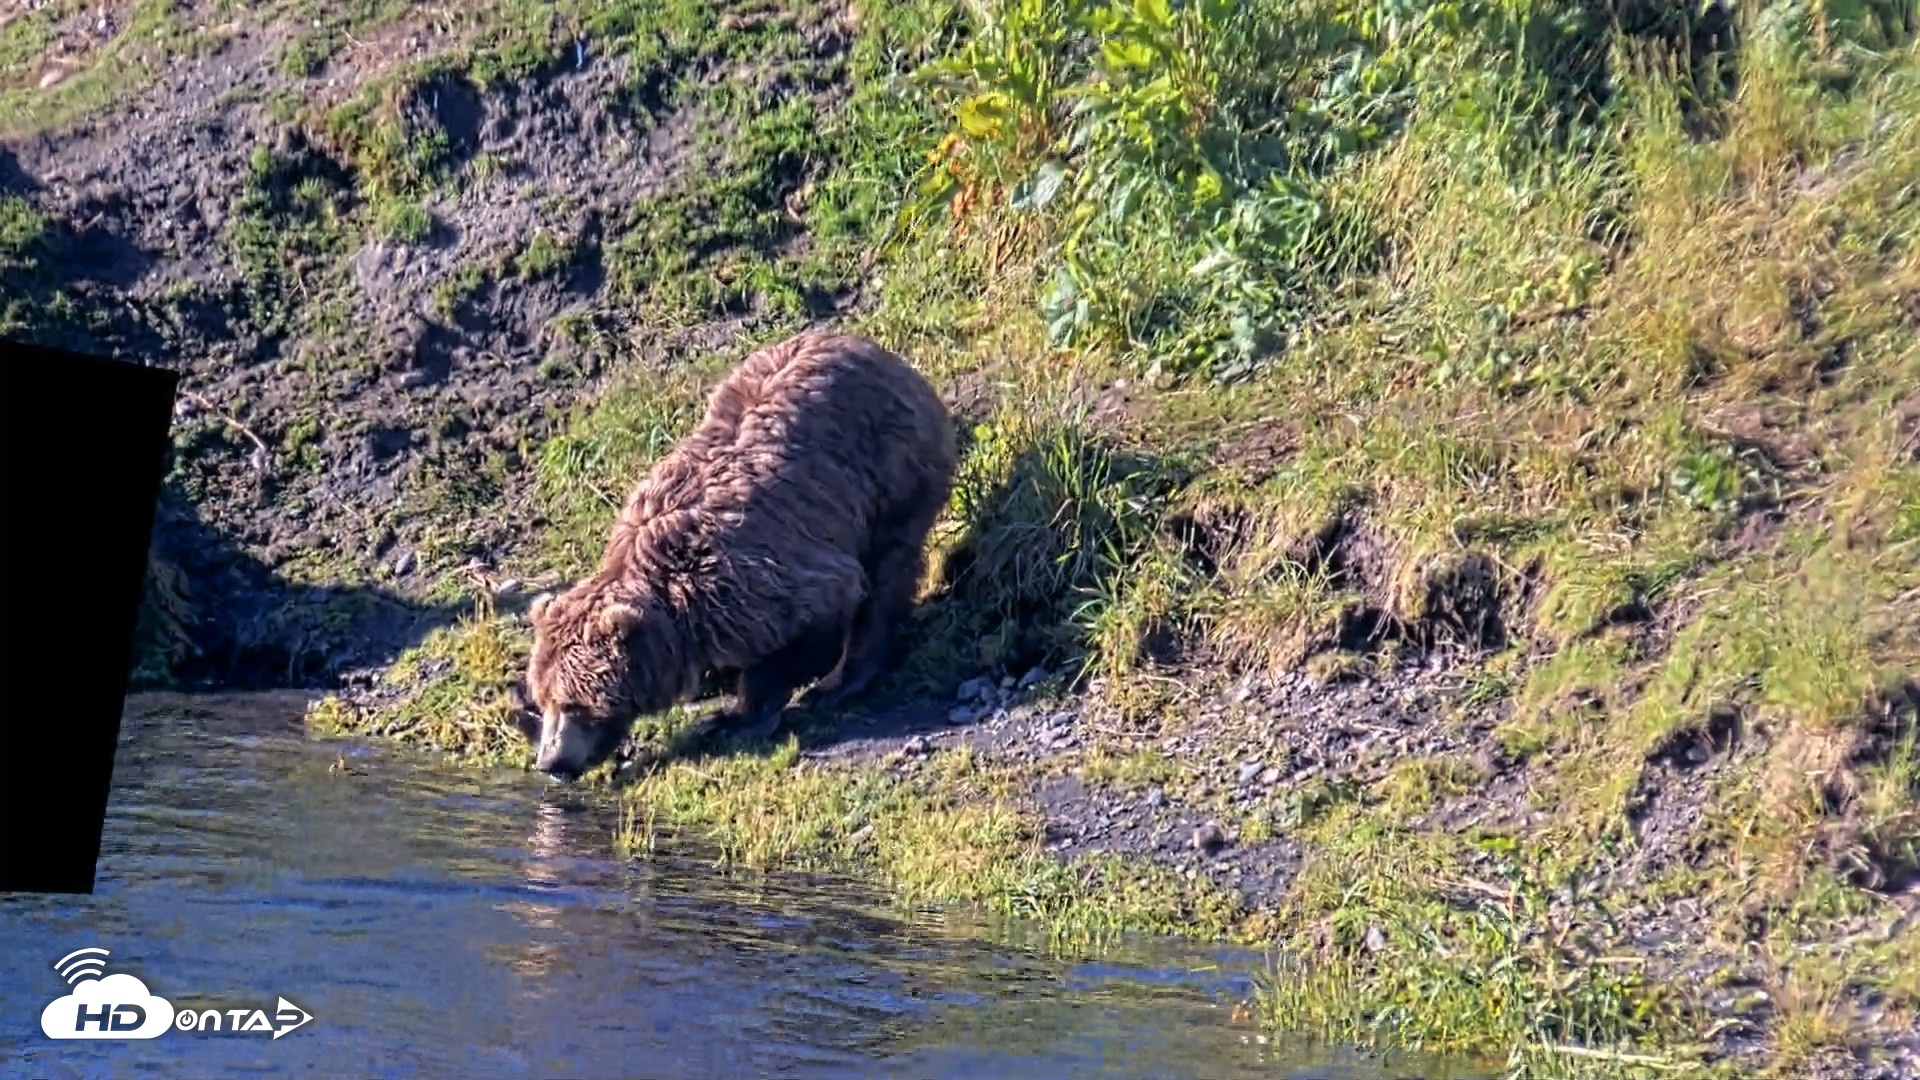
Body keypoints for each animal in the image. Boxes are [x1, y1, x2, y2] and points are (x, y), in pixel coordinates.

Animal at [517, 329, 959, 782]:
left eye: (574, 704)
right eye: (542, 697)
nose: (551, 762)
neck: (672, 607)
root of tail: (874, 350)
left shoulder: (742, 575)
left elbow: (815, 615)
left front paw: (734, 717)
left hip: (889, 471)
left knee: (888, 569)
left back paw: (841, 681)